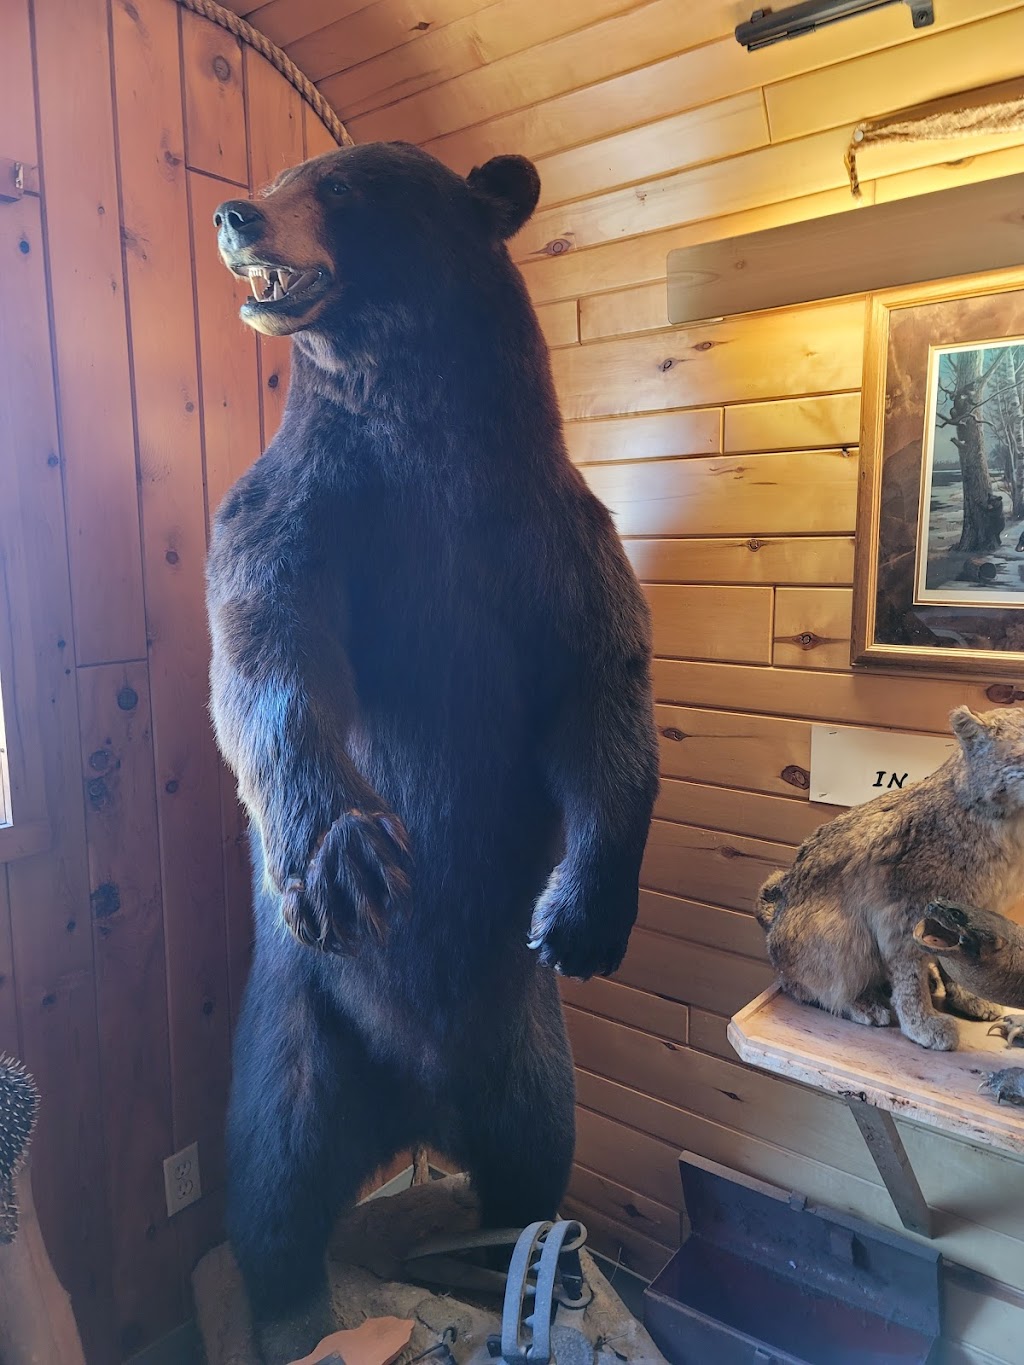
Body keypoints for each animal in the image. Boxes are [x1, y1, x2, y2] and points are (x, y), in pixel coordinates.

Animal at [207, 143, 659, 1363]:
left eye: (338, 184)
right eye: (285, 172)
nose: (235, 213)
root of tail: (416, 1111)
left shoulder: (554, 538)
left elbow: (603, 694)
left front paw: (582, 914)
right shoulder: (308, 507)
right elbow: (268, 648)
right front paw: (350, 854)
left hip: (528, 1047)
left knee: (539, 1150)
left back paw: (514, 1262)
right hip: (303, 1028)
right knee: (272, 1170)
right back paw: (294, 1309)